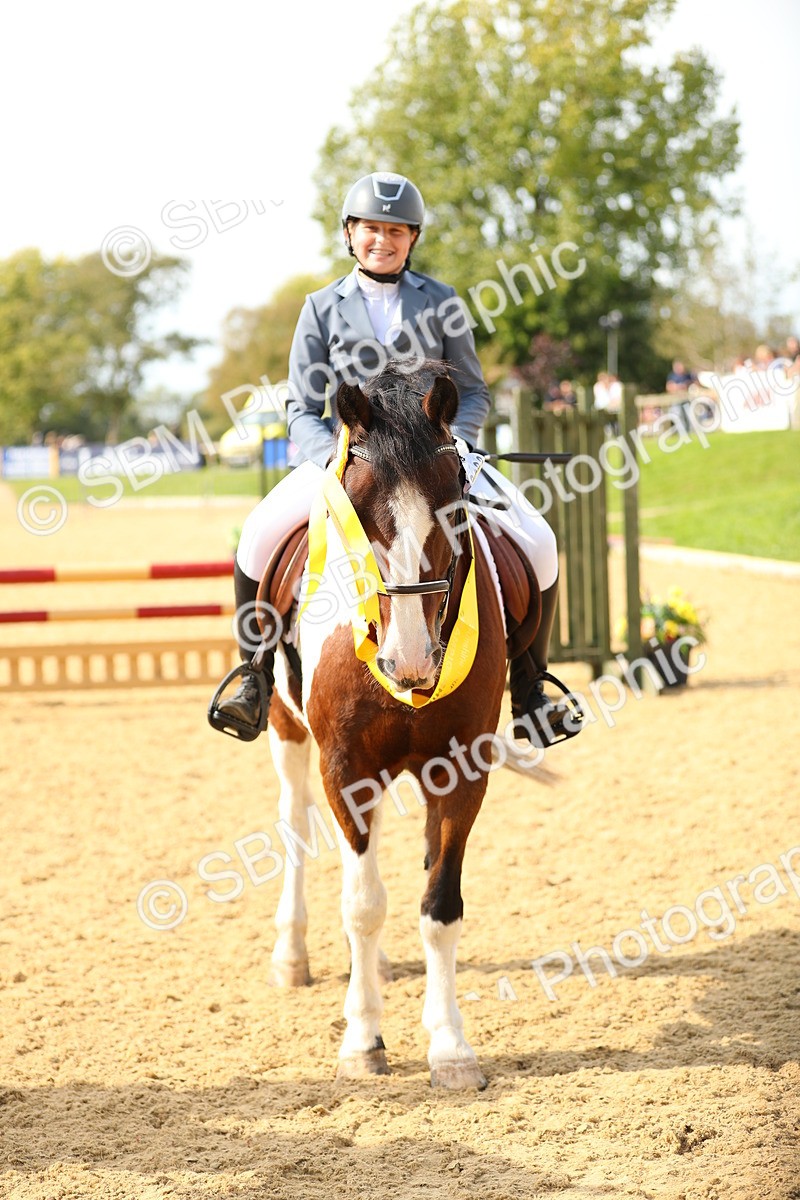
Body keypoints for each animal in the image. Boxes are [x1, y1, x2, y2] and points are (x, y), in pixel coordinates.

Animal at [264, 359, 509, 1090]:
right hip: (286, 732)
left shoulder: (462, 769)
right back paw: (293, 957)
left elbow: (439, 905)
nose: (410, 663)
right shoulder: (345, 767)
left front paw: (451, 1048)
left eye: (455, 510)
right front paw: (362, 1040)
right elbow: (364, 906)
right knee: (295, 824)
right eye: (357, 513)